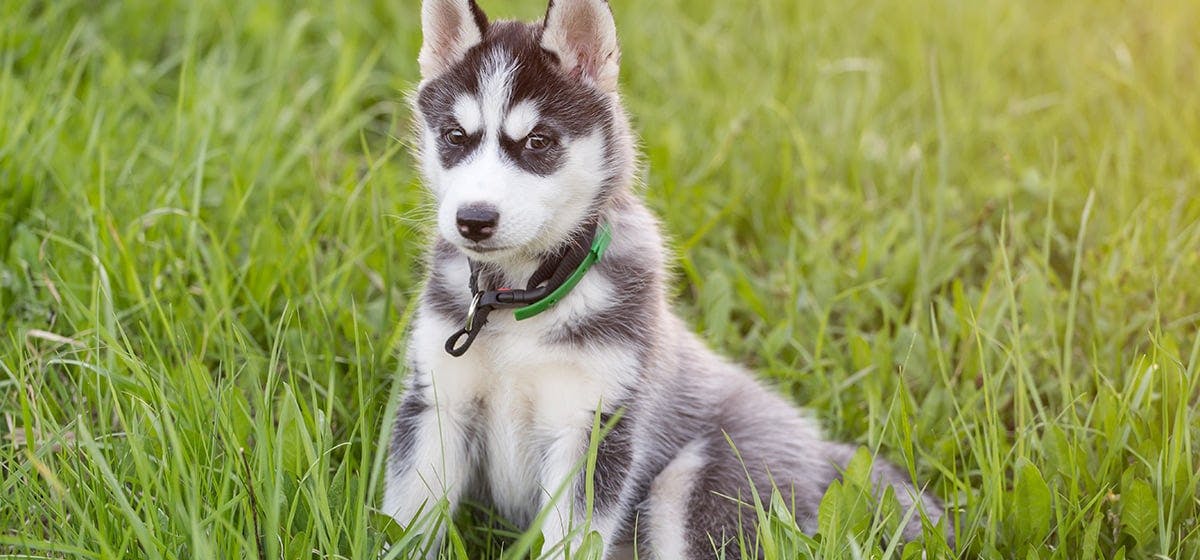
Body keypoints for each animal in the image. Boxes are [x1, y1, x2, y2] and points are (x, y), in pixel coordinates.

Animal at [384, 2, 945, 558]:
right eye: (455, 137)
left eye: (539, 141)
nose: (474, 219)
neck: (519, 300)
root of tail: (826, 453)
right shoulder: (435, 404)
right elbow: (406, 521)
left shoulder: (595, 427)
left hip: (701, 482)